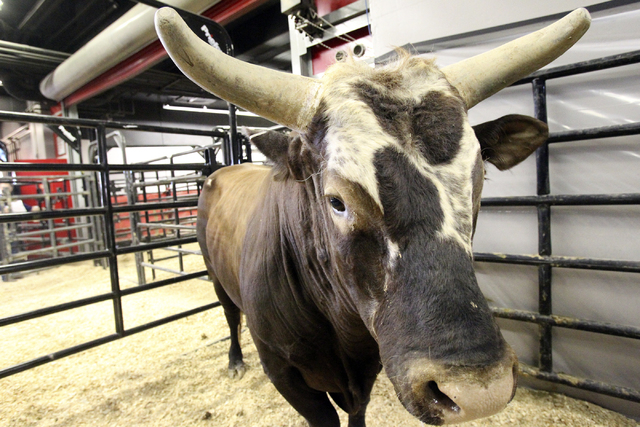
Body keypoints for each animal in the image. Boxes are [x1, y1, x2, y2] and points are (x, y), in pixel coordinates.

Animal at [155, 7, 590, 427]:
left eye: (478, 182)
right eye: (336, 201)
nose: (478, 392)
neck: (340, 332)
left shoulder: (368, 367)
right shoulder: (285, 375)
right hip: (215, 275)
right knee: (230, 315)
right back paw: (234, 360)